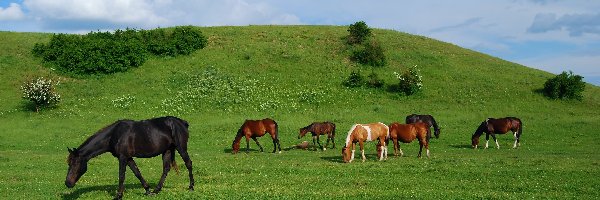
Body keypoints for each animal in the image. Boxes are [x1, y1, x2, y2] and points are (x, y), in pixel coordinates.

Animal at [65, 116, 195, 199]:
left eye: (75, 163)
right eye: (69, 163)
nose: (68, 183)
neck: (114, 134)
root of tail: (182, 122)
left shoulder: (122, 158)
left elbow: (122, 176)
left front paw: (118, 195)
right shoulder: (128, 158)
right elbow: (137, 173)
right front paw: (147, 190)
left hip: (181, 148)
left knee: (188, 163)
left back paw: (191, 187)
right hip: (167, 150)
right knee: (166, 169)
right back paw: (156, 190)